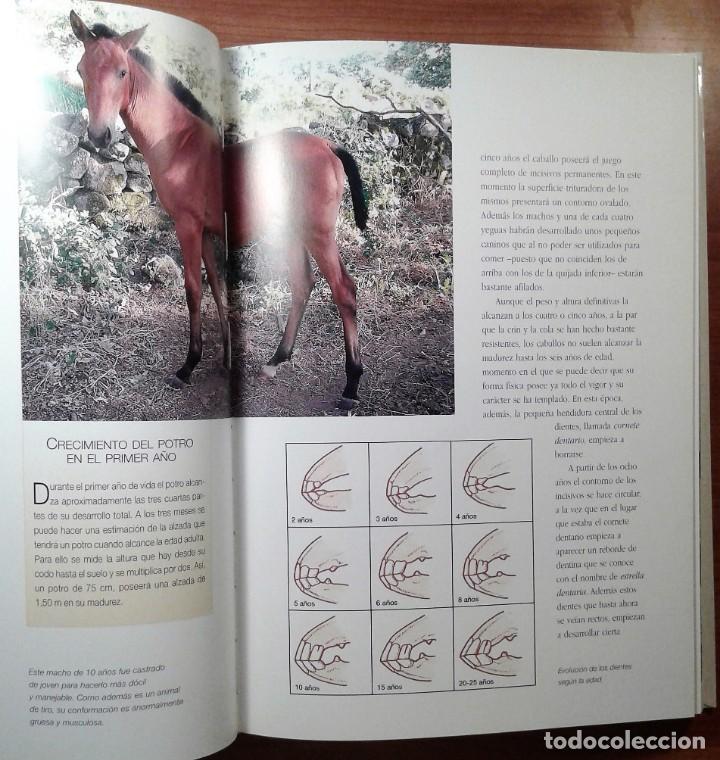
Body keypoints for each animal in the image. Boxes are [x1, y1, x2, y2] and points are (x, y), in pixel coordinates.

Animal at [70, 11, 229, 389]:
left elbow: (193, 290)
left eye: (122, 72)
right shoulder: (205, 232)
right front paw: (227, 358)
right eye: (81, 70)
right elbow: (218, 288)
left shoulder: (188, 227)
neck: (181, 143)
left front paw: (189, 365)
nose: (100, 135)